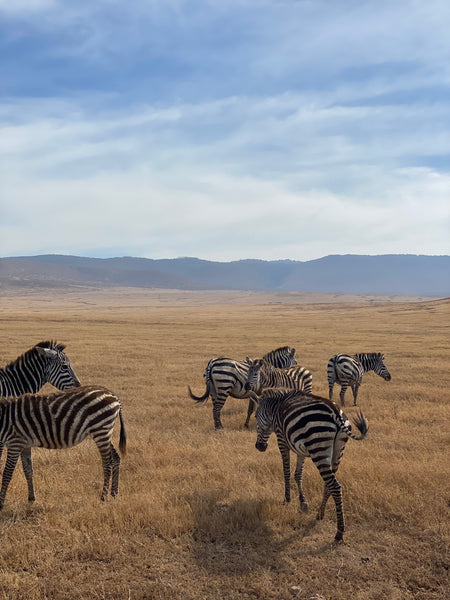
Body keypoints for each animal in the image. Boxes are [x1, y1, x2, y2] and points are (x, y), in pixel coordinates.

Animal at [251, 386, 368, 548]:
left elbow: (286, 471)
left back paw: (339, 533)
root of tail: (336, 413)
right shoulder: (300, 447)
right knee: (329, 484)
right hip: (337, 451)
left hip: (318, 447)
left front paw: (287, 499)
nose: (259, 447)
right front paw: (303, 503)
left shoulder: (282, 440)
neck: (275, 408)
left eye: (255, 416)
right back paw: (320, 514)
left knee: (335, 486)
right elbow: (298, 474)